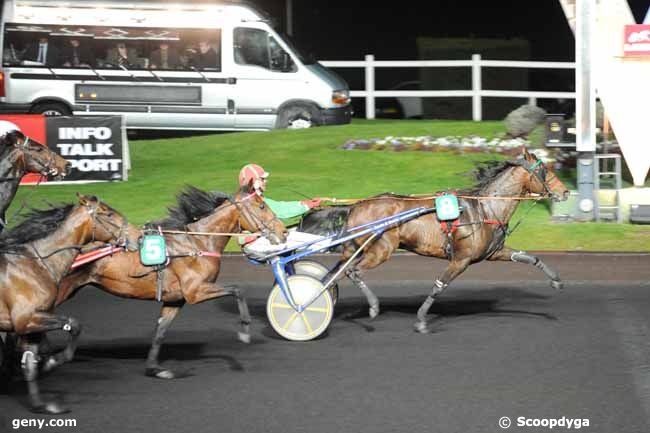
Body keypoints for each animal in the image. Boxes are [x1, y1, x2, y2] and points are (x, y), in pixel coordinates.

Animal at [0, 194, 130, 414]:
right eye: (108, 213)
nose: (133, 234)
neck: (37, 264)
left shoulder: (31, 324)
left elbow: (29, 365)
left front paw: (41, 405)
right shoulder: (27, 319)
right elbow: (74, 324)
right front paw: (52, 362)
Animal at [57, 186, 284, 378]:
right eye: (262, 206)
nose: (283, 231)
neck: (197, 244)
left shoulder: (175, 300)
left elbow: (160, 332)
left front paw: (154, 368)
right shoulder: (195, 292)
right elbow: (238, 289)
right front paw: (245, 330)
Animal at [298, 148, 568, 330]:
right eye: (544, 170)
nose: (565, 192)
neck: (485, 209)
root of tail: (356, 206)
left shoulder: (494, 252)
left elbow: (529, 258)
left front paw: (556, 281)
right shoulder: (461, 259)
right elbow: (440, 285)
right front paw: (421, 320)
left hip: (354, 248)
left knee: (332, 275)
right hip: (380, 250)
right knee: (352, 271)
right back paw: (371, 306)